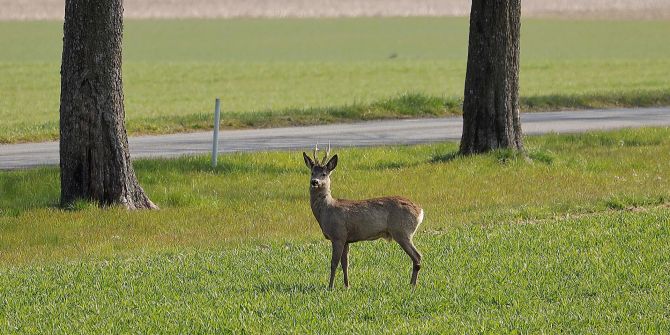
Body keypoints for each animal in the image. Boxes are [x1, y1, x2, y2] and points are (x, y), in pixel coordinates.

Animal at [304, 143, 426, 290]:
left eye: (324, 174)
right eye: (312, 172)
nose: (314, 182)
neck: (326, 211)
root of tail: (420, 211)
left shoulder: (338, 235)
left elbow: (333, 263)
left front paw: (330, 287)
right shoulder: (346, 239)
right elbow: (345, 263)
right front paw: (347, 285)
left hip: (402, 231)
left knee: (417, 256)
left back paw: (412, 285)